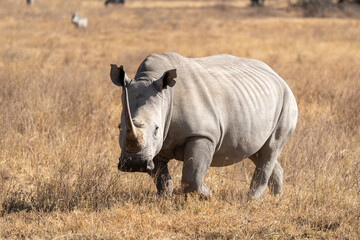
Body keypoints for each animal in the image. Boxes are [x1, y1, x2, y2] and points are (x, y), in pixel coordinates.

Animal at [110, 52, 298, 199]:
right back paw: (277, 198)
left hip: (287, 99)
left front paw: (208, 195)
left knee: (271, 148)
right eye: (119, 127)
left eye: (156, 129)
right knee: (257, 151)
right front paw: (166, 199)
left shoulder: (202, 134)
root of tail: (277, 75)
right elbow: (161, 178)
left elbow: (192, 176)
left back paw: (251, 200)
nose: (134, 164)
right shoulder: (154, 146)